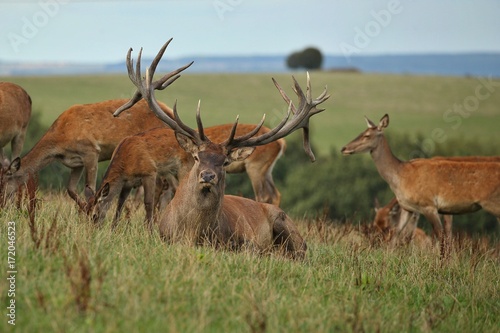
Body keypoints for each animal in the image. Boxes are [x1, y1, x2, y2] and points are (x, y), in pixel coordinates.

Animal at [114, 39, 330, 256]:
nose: (208, 176)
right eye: (197, 157)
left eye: (225, 161)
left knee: (298, 250)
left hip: (283, 220)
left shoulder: (245, 241)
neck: (193, 234)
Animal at [342, 113, 500, 255]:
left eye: (367, 135)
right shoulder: (408, 208)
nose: (344, 148)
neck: (401, 178)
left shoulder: (429, 205)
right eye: (361, 132)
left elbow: (442, 239)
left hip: (493, 203)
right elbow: (396, 236)